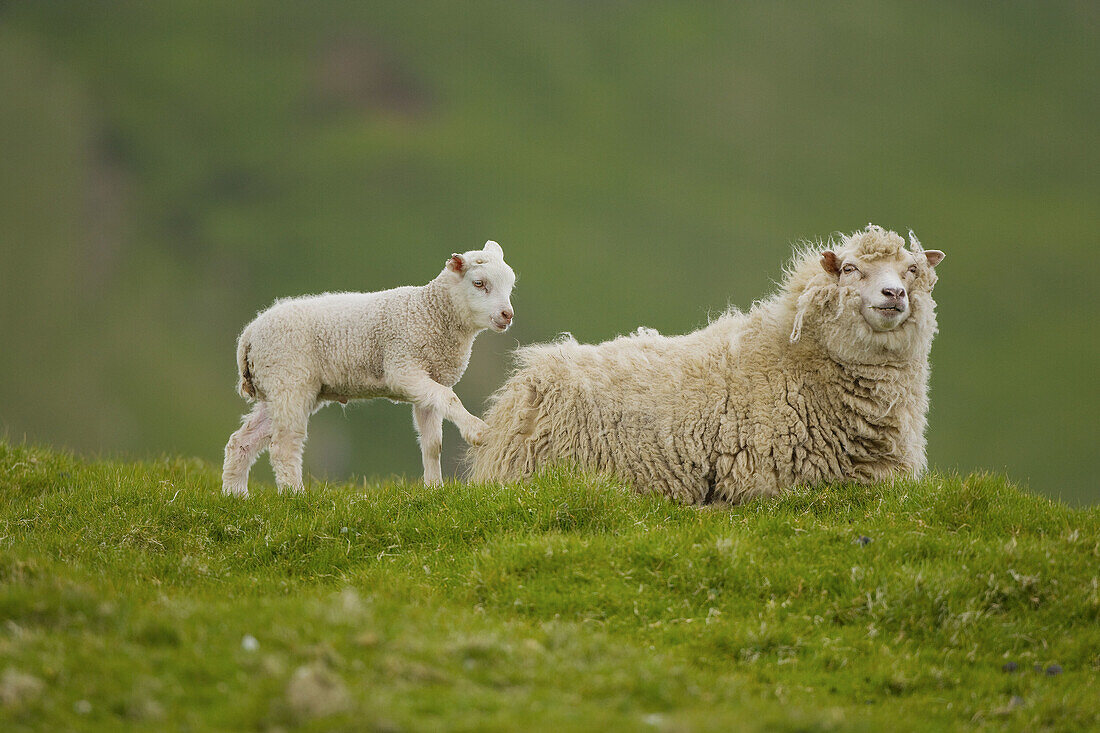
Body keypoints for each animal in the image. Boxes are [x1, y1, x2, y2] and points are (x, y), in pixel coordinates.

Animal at [225, 242, 517, 493]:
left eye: (510, 284)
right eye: (479, 283)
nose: (507, 314)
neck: (428, 312)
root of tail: (248, 335)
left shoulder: (430, 379)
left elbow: (433, 443)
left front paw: (434, 488)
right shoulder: (403, 366)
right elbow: (450, 398)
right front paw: (478, 431)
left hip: (276, 387)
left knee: (242, 441)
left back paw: (236, 495)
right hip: (289, 379)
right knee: (284, 445)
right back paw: (294, 494)